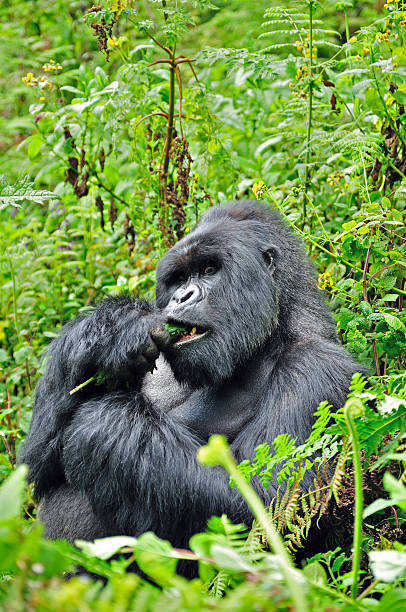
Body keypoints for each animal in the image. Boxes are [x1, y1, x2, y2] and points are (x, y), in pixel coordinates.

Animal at [19, 201, 362, 560]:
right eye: (179, 278)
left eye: (210, 269)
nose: (182, 297)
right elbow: (37, 466)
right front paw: (110, 330)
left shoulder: (318, 370)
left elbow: (265, 508)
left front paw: (104, 424)